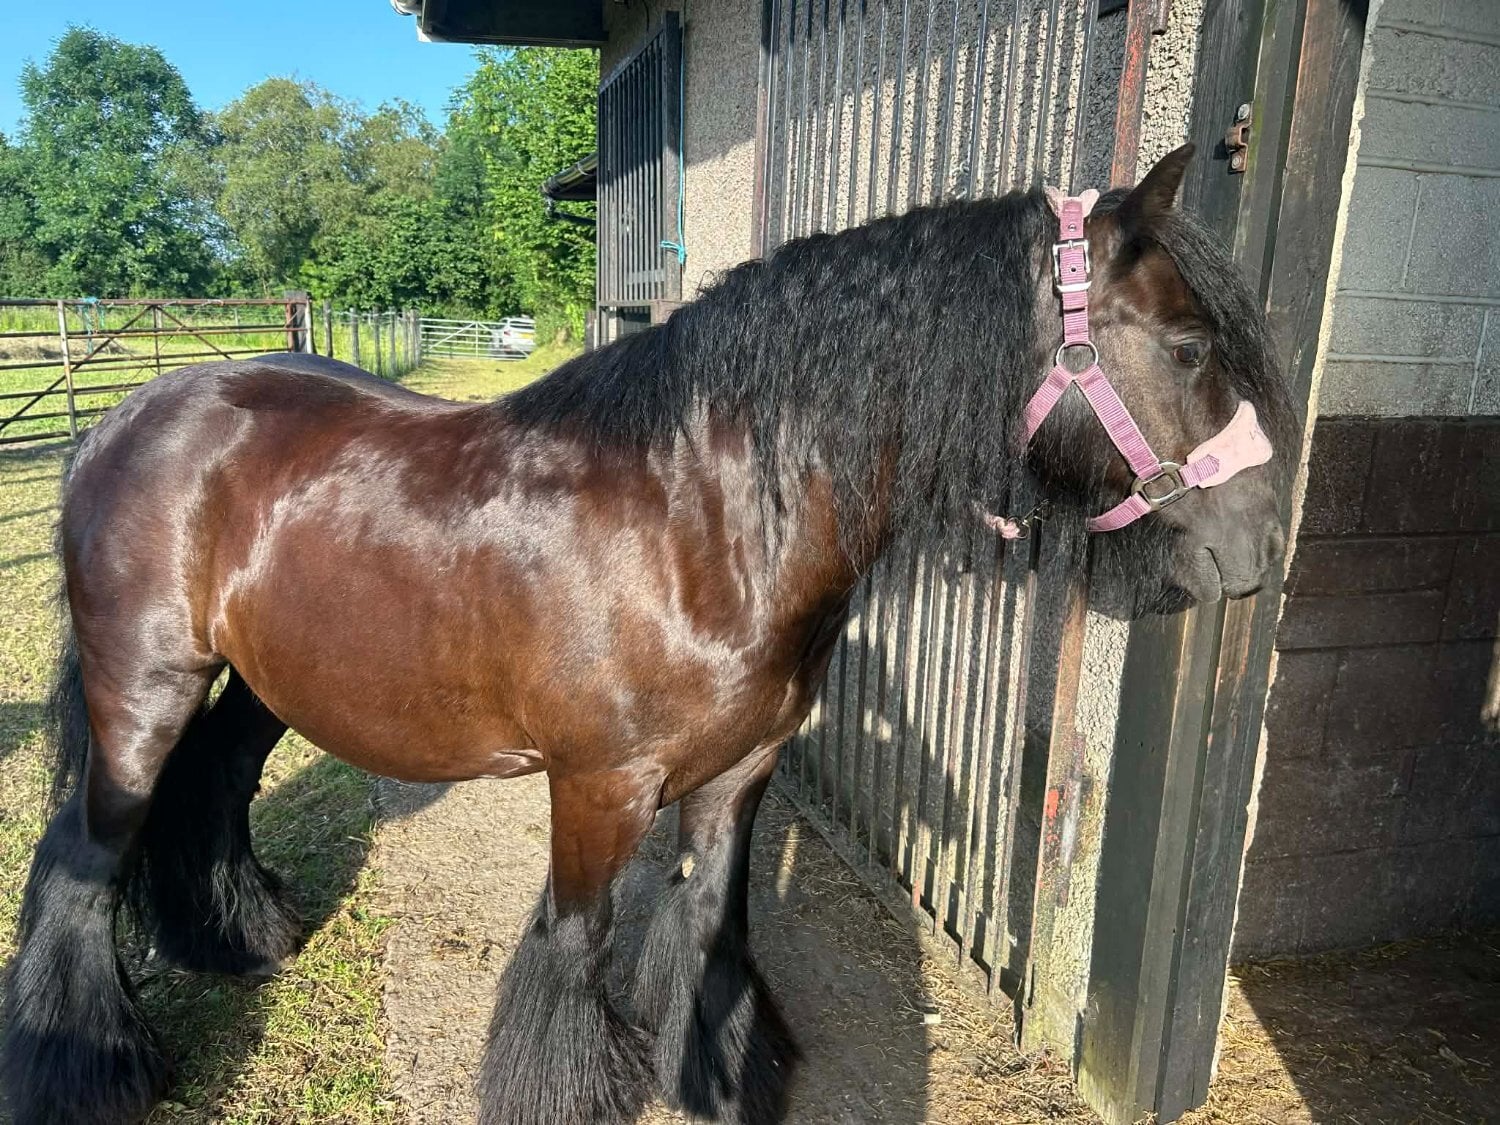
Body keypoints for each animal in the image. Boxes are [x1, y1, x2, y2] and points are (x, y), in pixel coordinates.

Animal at [0, 144, 1293, 1125]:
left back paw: (242, 940)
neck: (699, 518)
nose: (1262, 550)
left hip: (266, 682)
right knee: (78, 864)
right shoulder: (596, 788)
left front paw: (718, 1079)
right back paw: (85, 1071)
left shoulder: (739, 776)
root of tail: (128, 414)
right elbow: (574, 960)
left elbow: (710, 930)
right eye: (1188, 346)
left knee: (214, 787)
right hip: (141, 691)